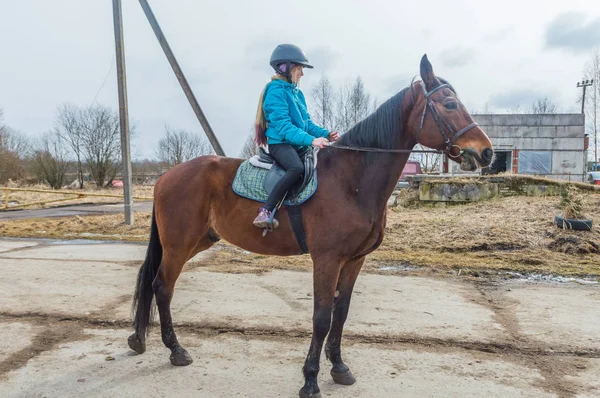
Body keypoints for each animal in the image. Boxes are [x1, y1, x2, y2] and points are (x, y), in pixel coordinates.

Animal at [126, 53, 492, 398]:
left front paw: (339, 367)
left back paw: (139, 339)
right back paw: (175, 350)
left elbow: (341, 313)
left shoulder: (354, 260)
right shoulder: (327, 259)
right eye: (449, 104)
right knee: (162, 287)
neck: (351, 179)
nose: (486, 152)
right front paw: (311, 380)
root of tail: (166, 176)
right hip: (179, 244)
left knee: (156, 284)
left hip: (199, 240)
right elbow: (321, 317)